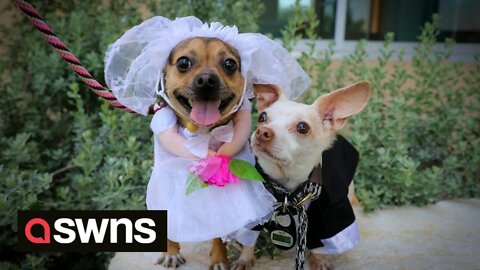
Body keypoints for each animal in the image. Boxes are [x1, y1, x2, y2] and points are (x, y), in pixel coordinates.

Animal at [158, 37, 246, 268]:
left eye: (229, 64)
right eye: (183, 63)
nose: (207, 80)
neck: (201, 134)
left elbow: (218, 232)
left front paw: (219, 259)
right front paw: (171, 252)